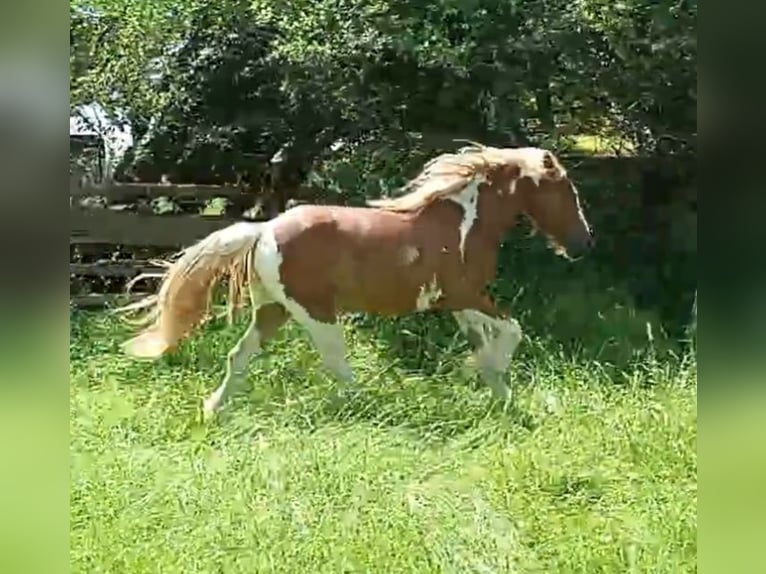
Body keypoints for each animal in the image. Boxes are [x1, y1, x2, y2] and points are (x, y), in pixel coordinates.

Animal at [119, 143, 594, 418]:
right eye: (566, 190)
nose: (583, 243)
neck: (462, 223)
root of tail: (263, 231)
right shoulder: (465, 294)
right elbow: (513, 331)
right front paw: (485, 378)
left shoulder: (459, 304)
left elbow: (487, 346)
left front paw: (501, 396)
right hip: (314, 312)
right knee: (336, 362)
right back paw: (373, 405)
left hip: (273, 310)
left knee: (239, 355)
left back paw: (213, 410)